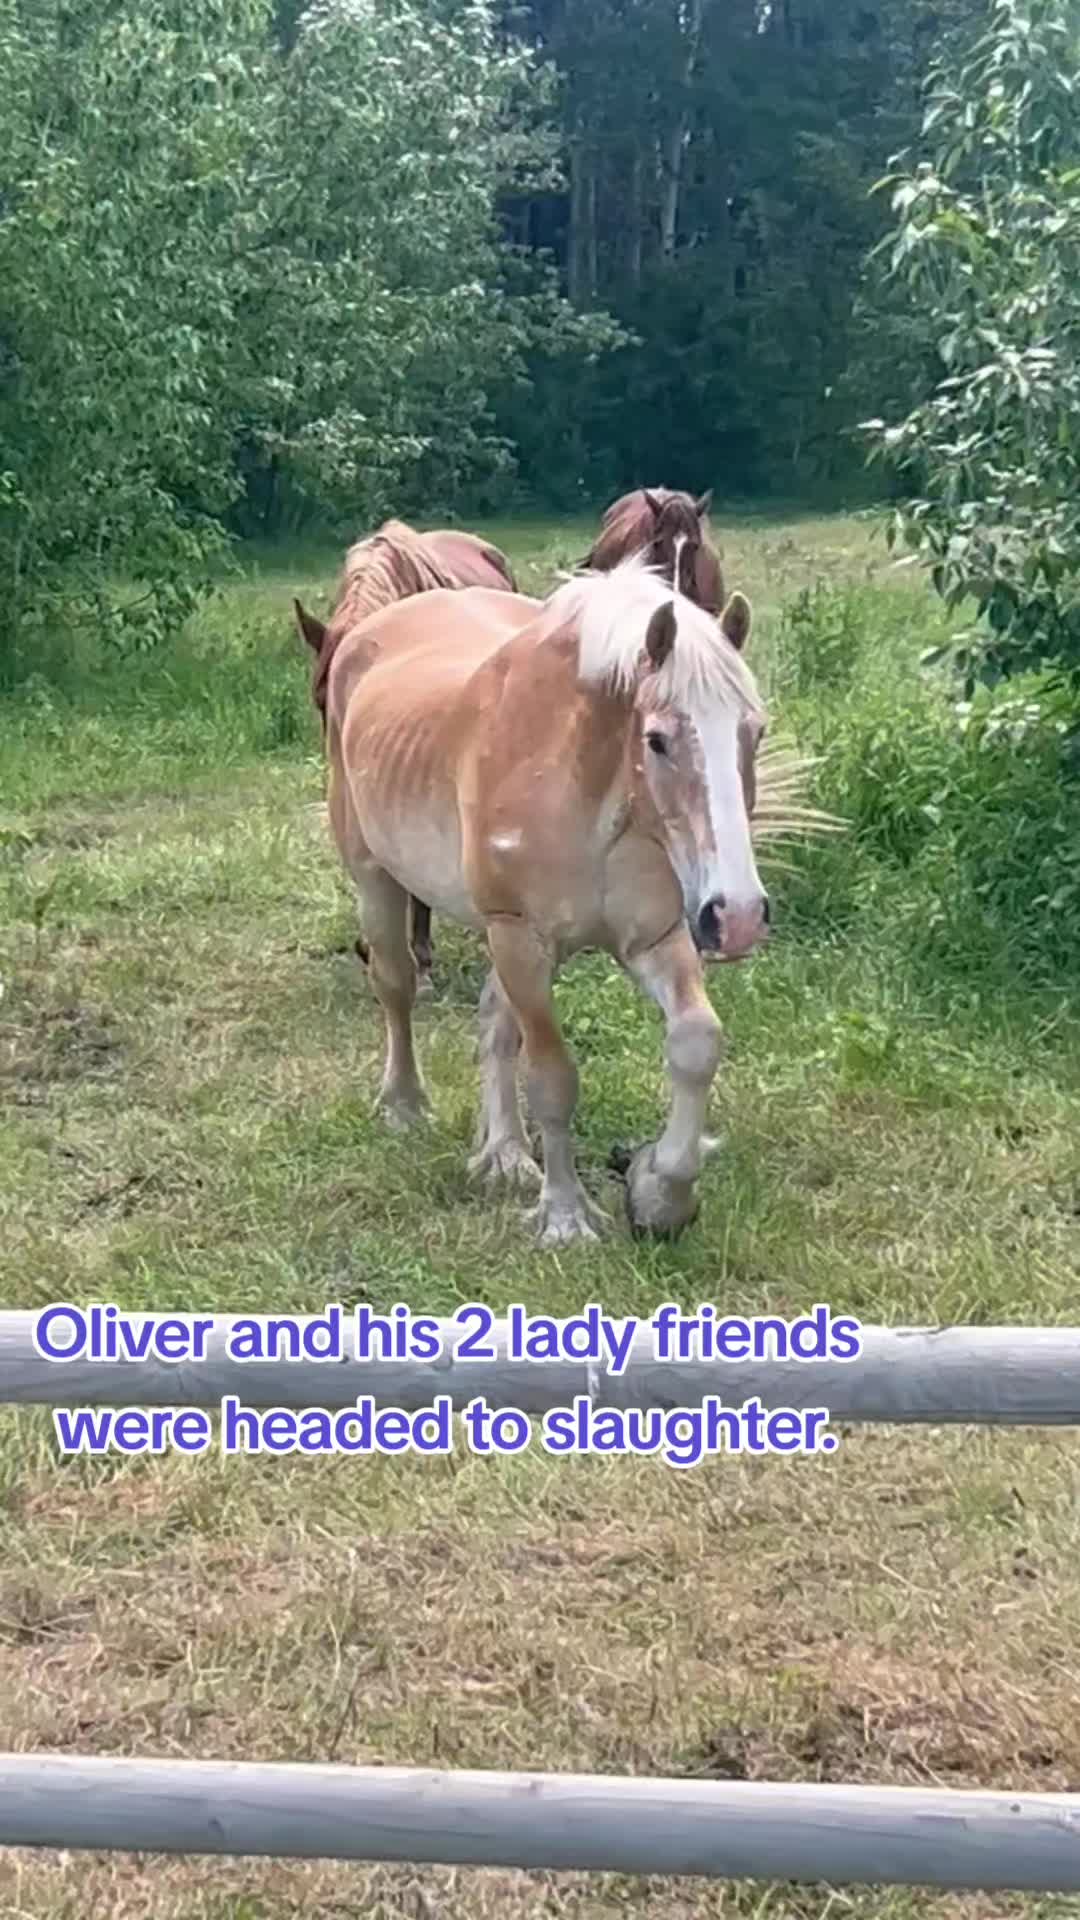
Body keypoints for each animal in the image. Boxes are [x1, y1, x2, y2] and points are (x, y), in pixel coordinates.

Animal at [309, 548, 834, 1246]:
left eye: (756, 729)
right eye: (657, 739)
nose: (739, 917)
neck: (585, 789)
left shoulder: (655, 937)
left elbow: (696, 1045)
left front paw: (658, 1192)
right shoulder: (523, 939)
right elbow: (553, 1078)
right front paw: (565, 1216)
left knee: (494, 1022)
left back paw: (505, 1154)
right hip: (381, 882)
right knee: (395, 987)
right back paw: (404, 1106)